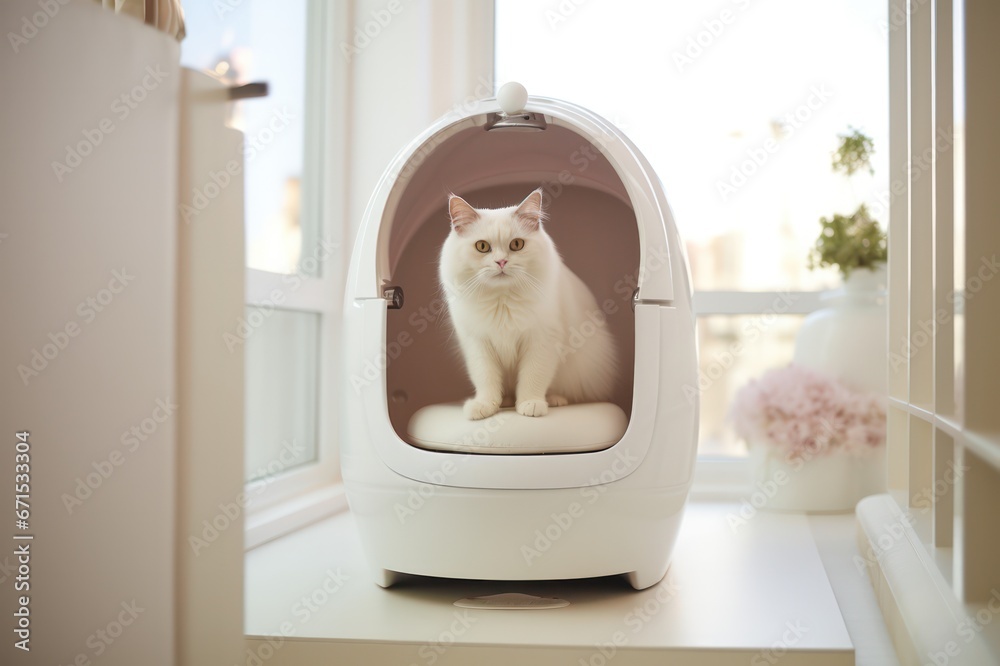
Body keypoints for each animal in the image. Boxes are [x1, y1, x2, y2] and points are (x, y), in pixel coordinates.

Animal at [440, 187, 616, 418]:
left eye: (516, 244)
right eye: (482, 247)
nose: (501, 262)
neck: (502, 300)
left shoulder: (542, 339)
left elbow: (533, 376)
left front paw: (530, 404)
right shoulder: (477, 343)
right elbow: (486, 378)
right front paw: (485, 406)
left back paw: (554, 400)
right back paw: (505, 401)